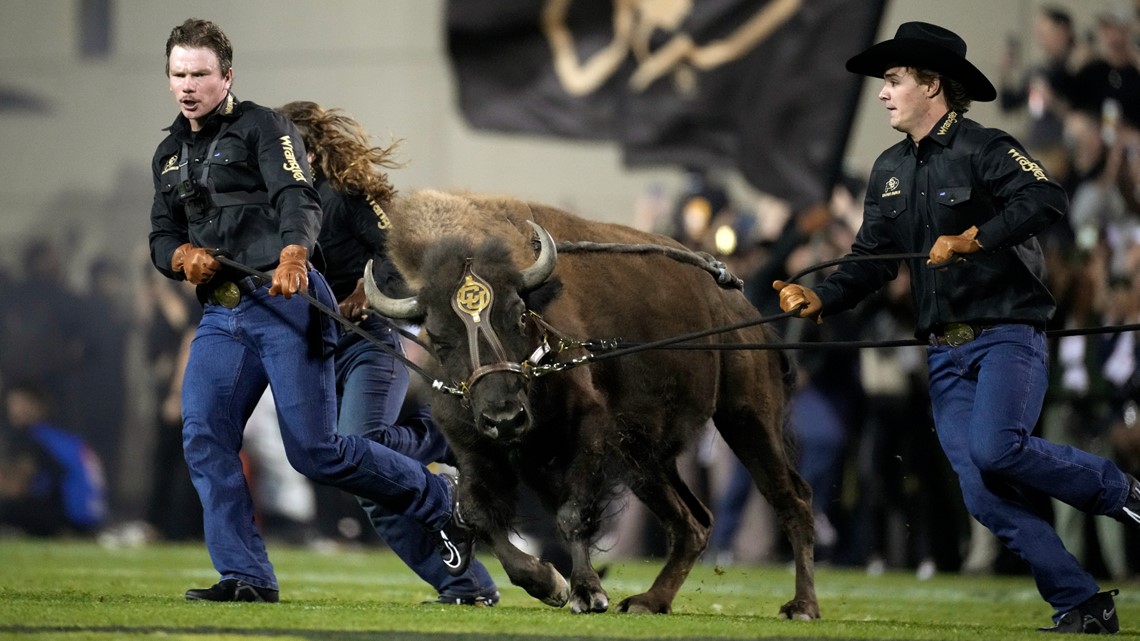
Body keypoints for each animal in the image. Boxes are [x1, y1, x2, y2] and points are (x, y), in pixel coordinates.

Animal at [364, 187, 820, 615]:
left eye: (518, 316)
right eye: (439, 338)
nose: (506, 418)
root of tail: (736, 300)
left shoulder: (588, 433)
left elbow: (573, 515)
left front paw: (588, 593)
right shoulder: (474, 448)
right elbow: (479, 514)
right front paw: (549, 584)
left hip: (747, 418)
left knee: (791, 500)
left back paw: (802, 606)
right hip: (645, 459)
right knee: (693, 523)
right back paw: (648, 600)